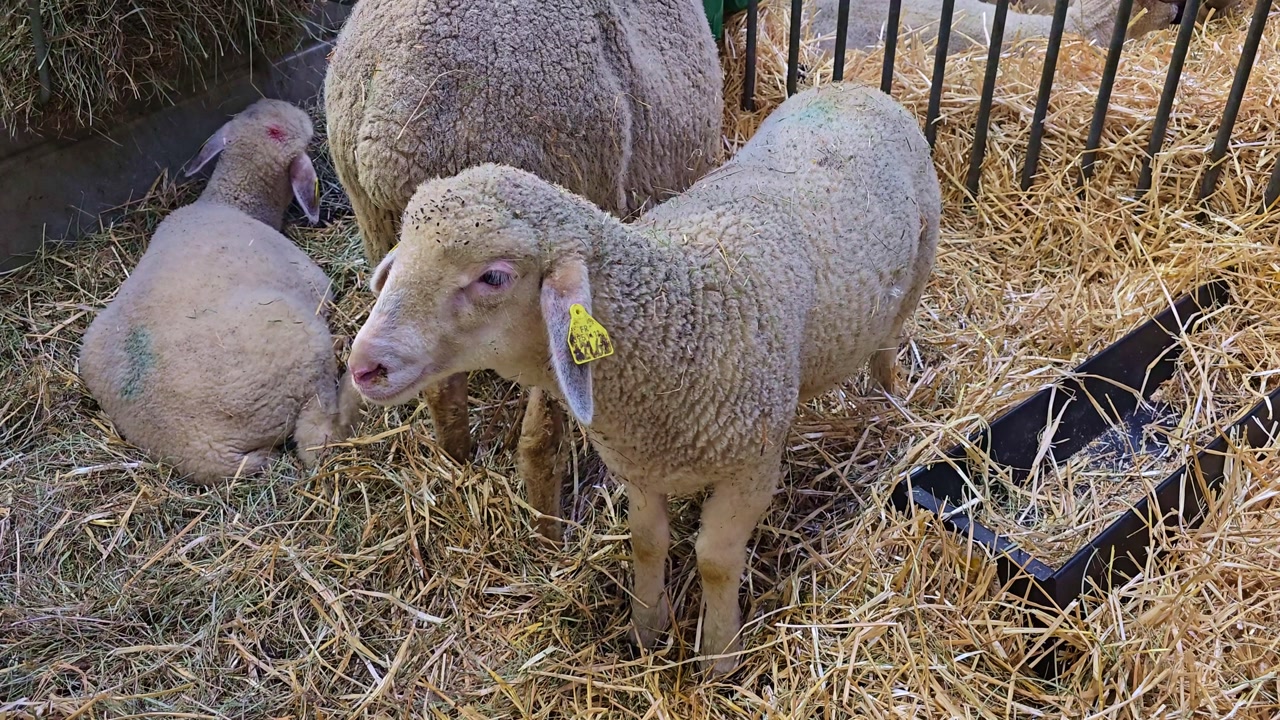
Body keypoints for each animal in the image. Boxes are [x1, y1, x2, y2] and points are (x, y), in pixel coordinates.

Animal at [78, 98, 363, 484]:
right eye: (277, 131)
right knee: (314, 441)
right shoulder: (313, 280)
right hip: (303, 352)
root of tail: (201, 449)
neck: (231, 200)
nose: (291, 109)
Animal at [323, 0, 725, 540]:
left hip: (393, 251)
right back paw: (549, 528)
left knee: (441, 392)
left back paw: (460, 461)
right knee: (538, 438)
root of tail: (394, 117)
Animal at [343, 80, 941, 675]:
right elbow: (646, 542)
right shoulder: (639, 465)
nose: (363, 365)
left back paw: (889, 402)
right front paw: (645, 631)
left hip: (915, 276)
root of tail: (854, 85)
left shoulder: (750, 469)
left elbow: (715, 559)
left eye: (493, 277)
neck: (679, 318)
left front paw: (718, 656)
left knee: (887, 345)